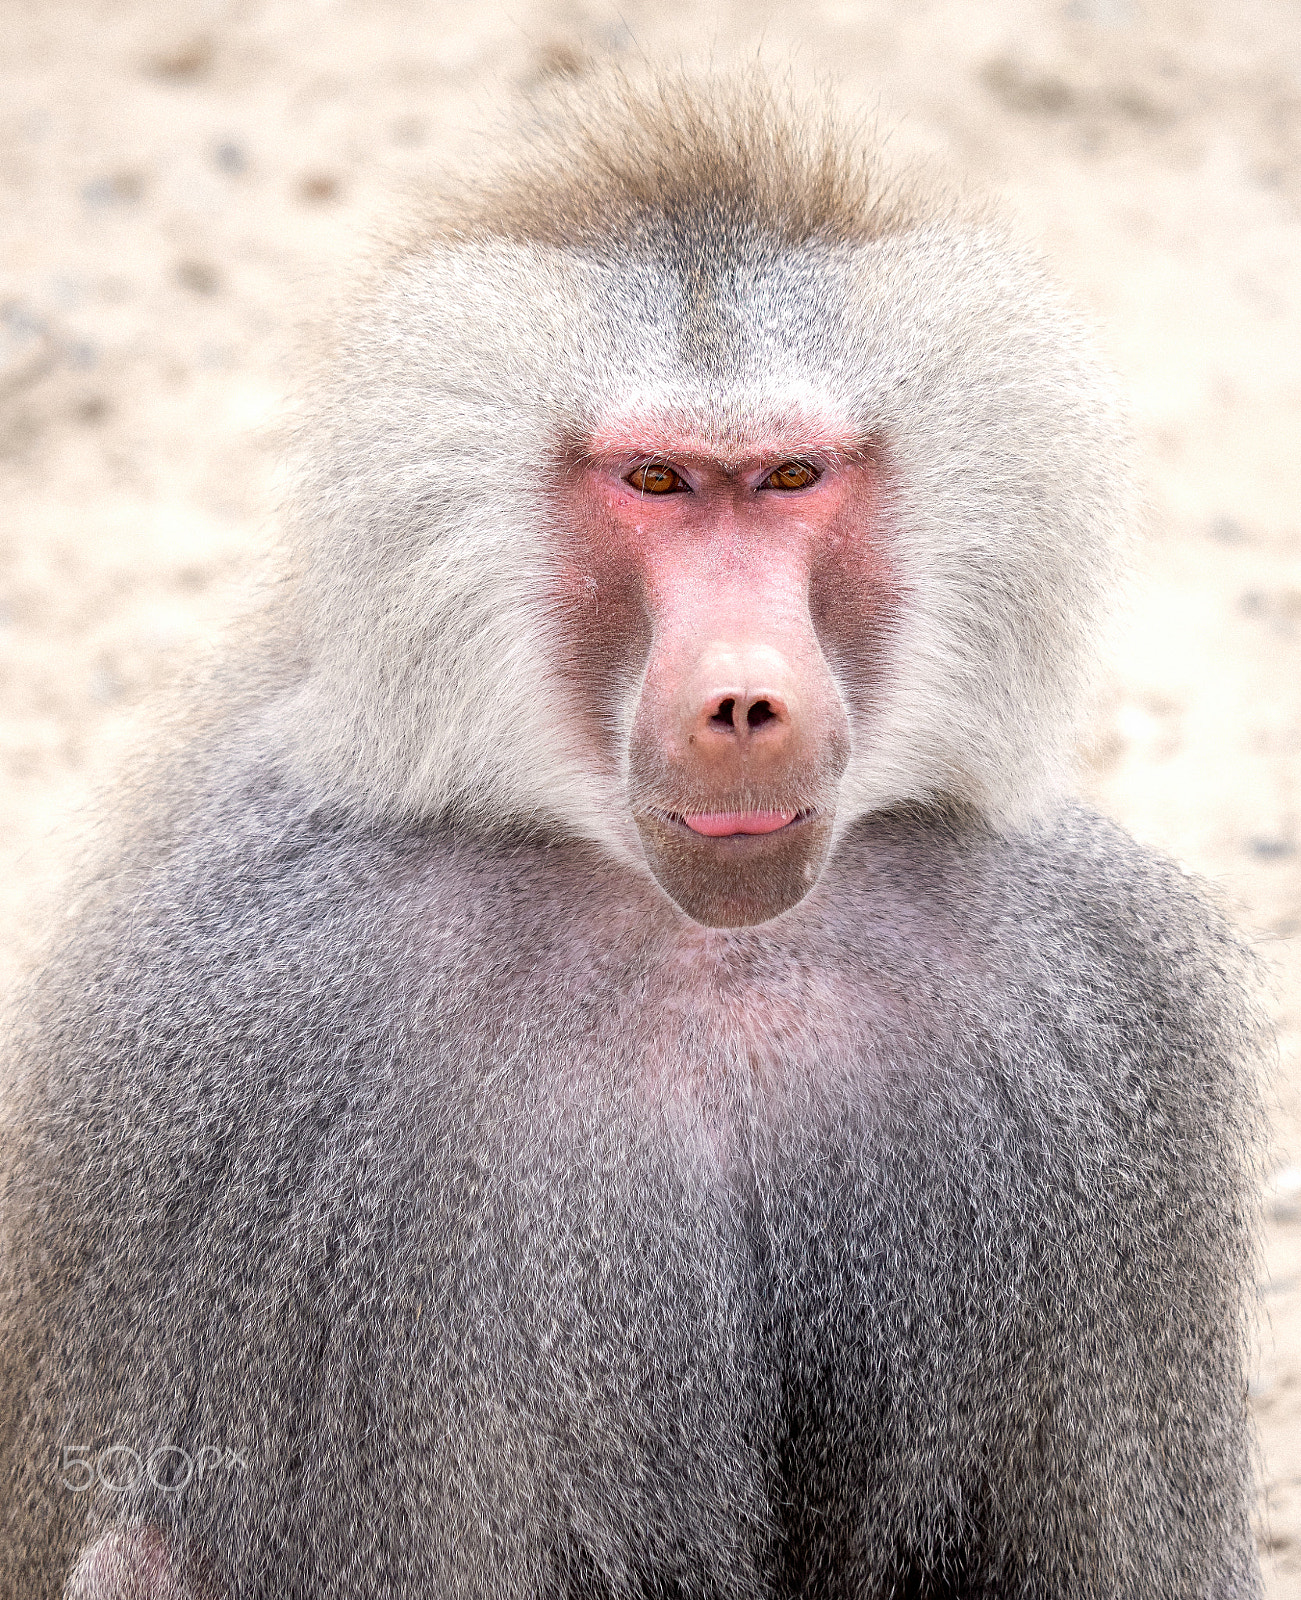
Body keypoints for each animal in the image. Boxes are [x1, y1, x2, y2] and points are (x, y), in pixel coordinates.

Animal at [0, 71, 1265, 1600]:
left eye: (790, 476)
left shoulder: (1094, 1031)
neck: (701, 949)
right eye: (655, 481)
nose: (742, 701)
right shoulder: (264, 1057)